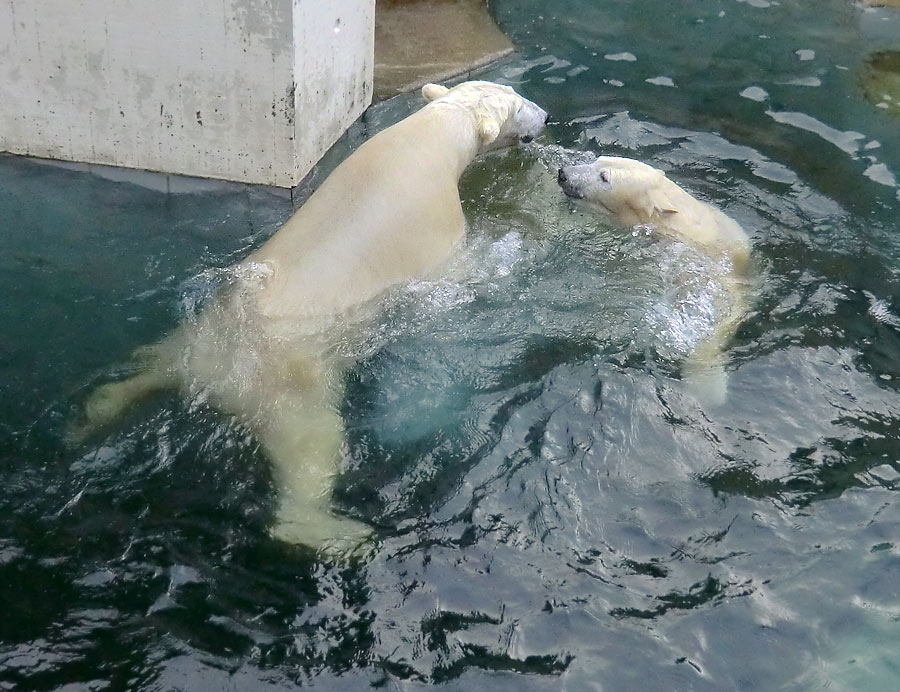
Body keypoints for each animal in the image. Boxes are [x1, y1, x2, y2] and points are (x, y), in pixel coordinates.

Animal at [70, 81, 544, 556]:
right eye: (519, 104)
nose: (543, 113)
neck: (432, 136)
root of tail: (214, 378)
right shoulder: (438, 227)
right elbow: (460, 271)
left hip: (194, 335)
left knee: (148, 368)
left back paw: (94, 413)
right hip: (291, 391)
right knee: (313, 451)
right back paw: (344, 534)